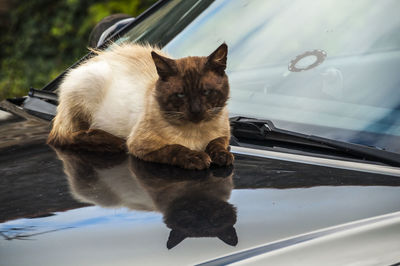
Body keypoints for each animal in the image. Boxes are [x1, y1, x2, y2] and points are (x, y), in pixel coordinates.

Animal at [48, 42, 233, 169]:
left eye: (206, 92)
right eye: (181, 94)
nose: (196, 111)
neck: (196, 133)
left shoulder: (224, 135)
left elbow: (216, 143)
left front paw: (223, 156)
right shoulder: (141, 146)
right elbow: (175, 148)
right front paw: (198, 158)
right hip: (92, 81)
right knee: (64, 136)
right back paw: (113, 142)